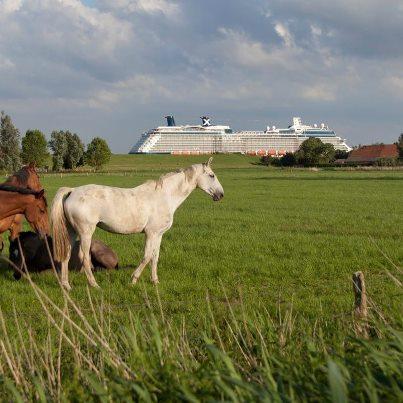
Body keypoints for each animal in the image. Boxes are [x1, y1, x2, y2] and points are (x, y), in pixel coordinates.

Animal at [50, 159, 224, 290]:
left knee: (66, 255)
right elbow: (146, 257)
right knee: (85, 257)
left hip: (72, 232)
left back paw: (66, 286)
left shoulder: (159, 235)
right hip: (86, 233)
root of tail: (72, 191)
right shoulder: (151, 233)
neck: (164, 196)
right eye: (212, 175)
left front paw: (155, 281)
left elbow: (155, 257)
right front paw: (133, 280)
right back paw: (94, 285)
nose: (221, 195)